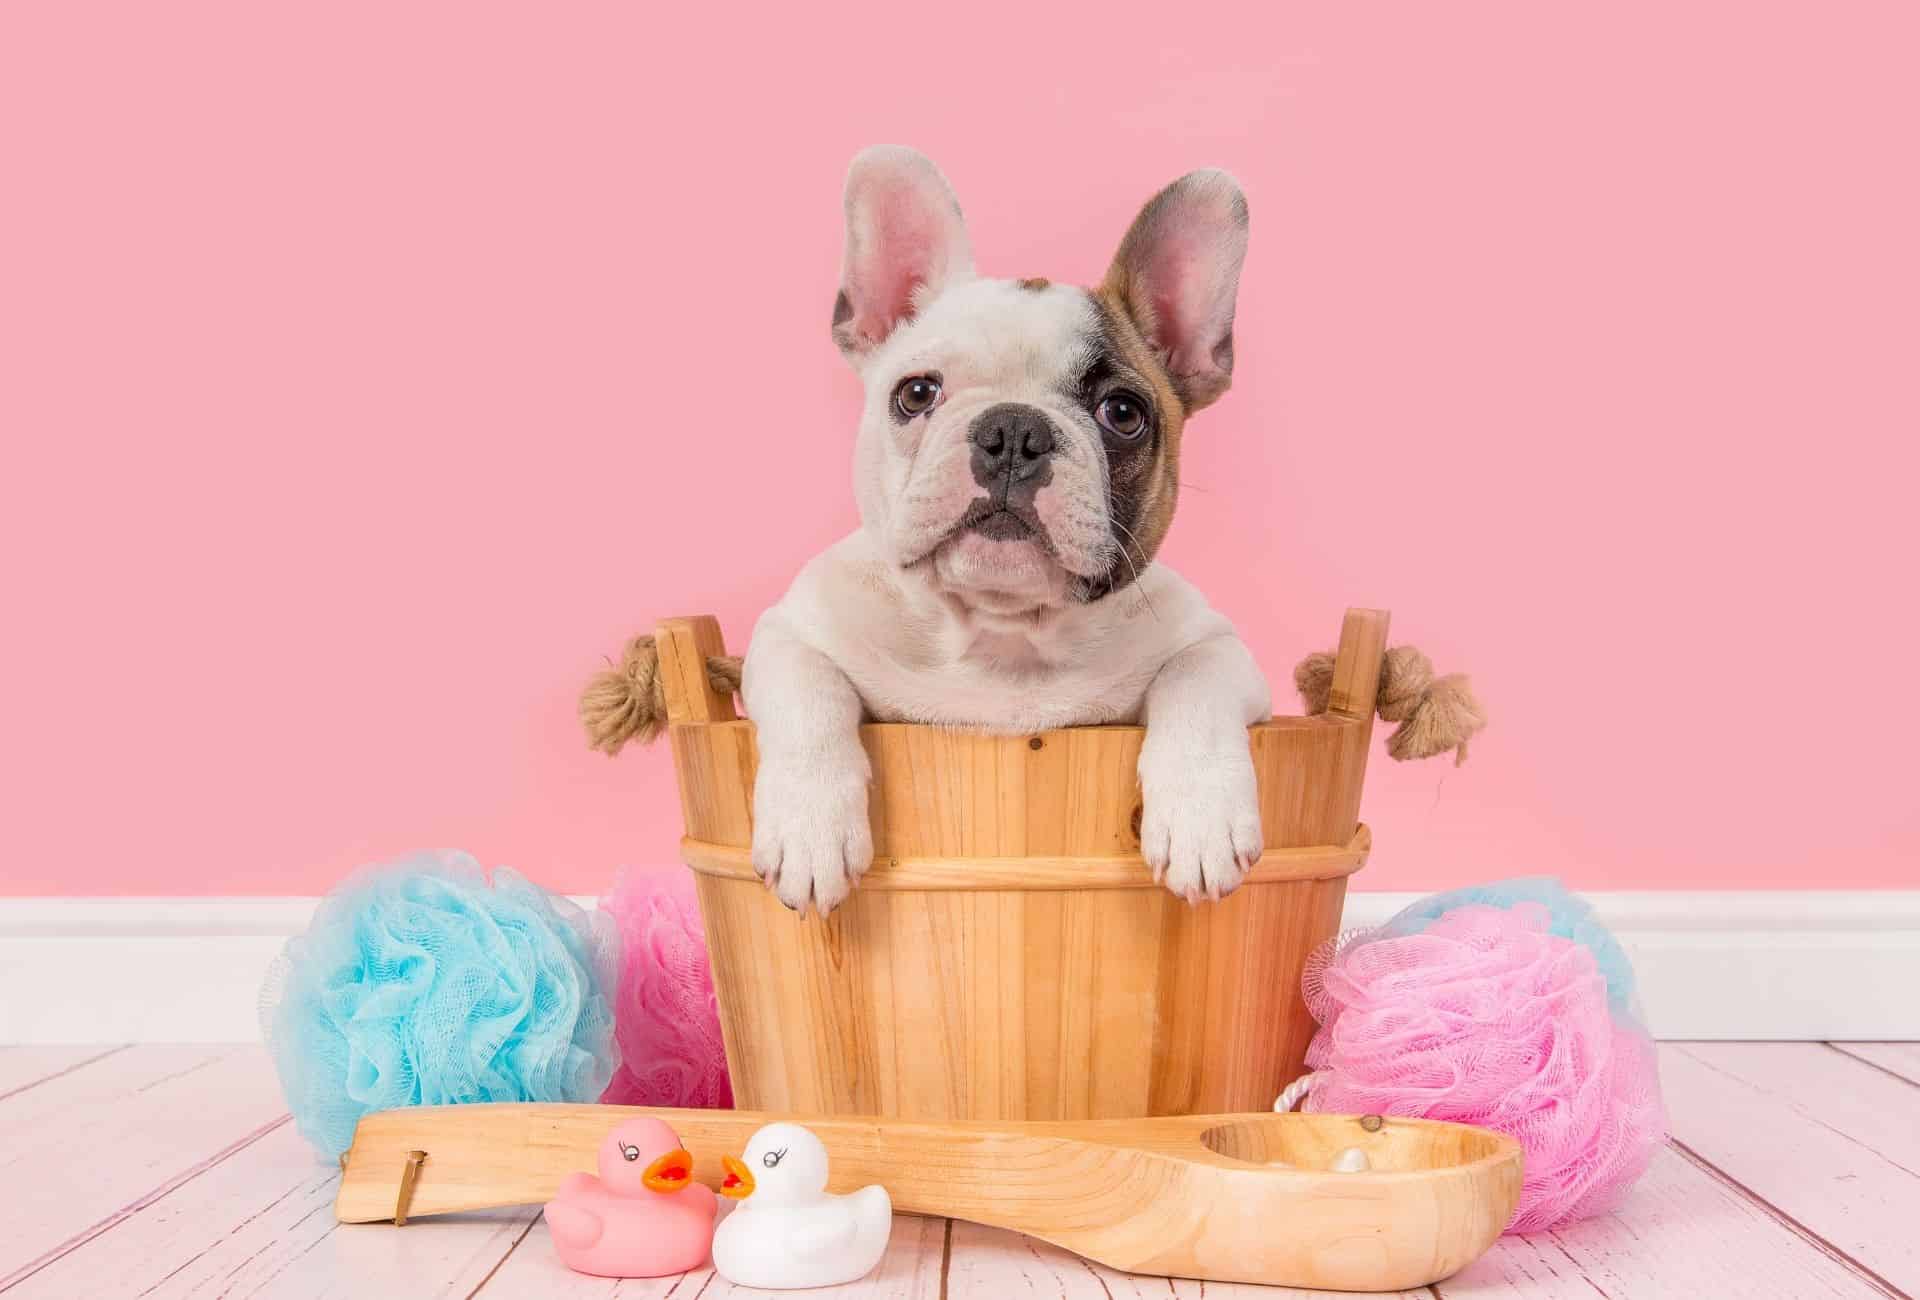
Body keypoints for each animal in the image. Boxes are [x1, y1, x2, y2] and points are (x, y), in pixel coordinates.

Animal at [741, 144, 1267, 914]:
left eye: (1123, 412)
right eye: (916, 394)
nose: (1014, 431)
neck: (1003, 636)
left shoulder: (1222, 648)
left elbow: (1197, 677)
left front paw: (1203, 819)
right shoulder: (790, 629)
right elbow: (808, 692)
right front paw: (809, 831)